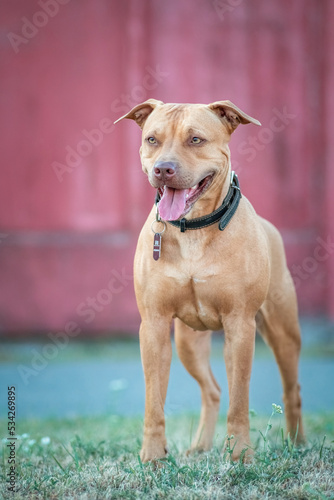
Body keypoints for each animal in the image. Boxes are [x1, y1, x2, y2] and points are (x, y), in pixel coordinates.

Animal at [116, 99, 304, 462]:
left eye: (196, 140)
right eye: (152, 139)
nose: (163, 169)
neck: (193, 228)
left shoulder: (241, 326)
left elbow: (240, 400)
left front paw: (241, 456)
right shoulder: (154, 326)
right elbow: (154, 400)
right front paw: (153, 455)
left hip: (282, 332)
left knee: (292, 389)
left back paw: (297, 445)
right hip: (188, 343)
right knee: (213, 391)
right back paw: (200, 447)